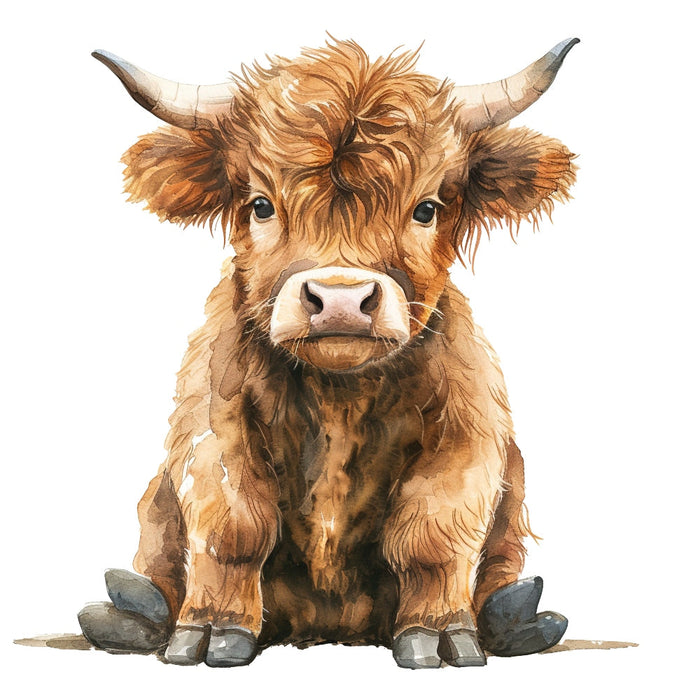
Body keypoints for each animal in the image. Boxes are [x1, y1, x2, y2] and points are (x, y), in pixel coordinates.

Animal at [78, 38, 578, 669]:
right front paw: (213, 629)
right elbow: (233, 523)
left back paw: (513, 618)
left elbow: (433, 534)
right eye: (261, 205)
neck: (341, 395)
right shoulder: (211, 422)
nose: (340, 299)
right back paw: (133, 614)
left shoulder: (469, 436)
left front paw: (440, 634)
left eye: (427, 208)